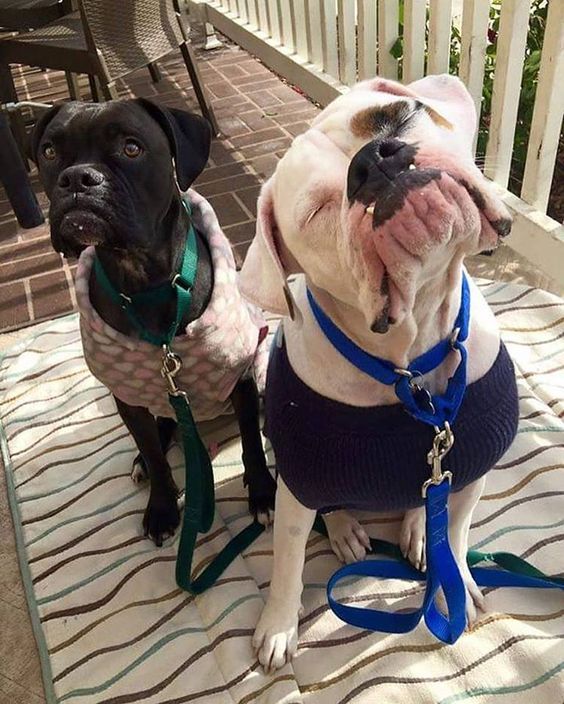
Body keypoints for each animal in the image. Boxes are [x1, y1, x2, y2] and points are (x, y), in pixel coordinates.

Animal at [32, 102, 276, 548]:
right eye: (50, 151)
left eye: (132, 148)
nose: (78, 178)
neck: (144, 280)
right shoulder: (127, 396)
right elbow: (154, 454)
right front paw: (162, 507)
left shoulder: (241, 378)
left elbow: (251, 439)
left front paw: (264, 494)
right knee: (157, 437)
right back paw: (144, 461)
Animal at [238, 75, 520, 672]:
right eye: (317, 211)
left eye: (396, 117)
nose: (374, 161)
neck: (413, 353)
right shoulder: (297, 484)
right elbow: (287, 560)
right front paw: (278, 626)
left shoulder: (471, 467)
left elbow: (456, 530)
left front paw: (454, 576)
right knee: (332, 507)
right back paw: (347, 530)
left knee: (423, 502)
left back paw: (416, 530)